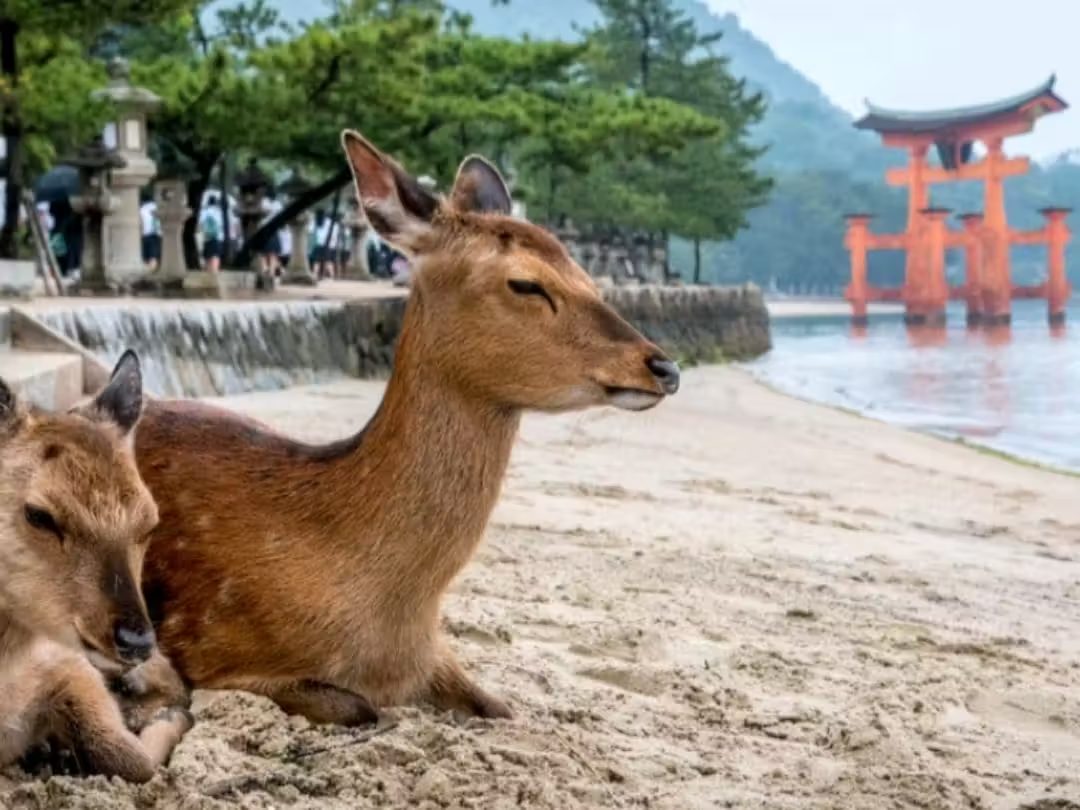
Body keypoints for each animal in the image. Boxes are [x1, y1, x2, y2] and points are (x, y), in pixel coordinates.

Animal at [124, 130, 681, 726]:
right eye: (526, 284)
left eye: (586, 275)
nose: (663, 366)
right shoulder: (212, 649)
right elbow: (363, 709)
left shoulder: (435, 660)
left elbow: (502, 708)